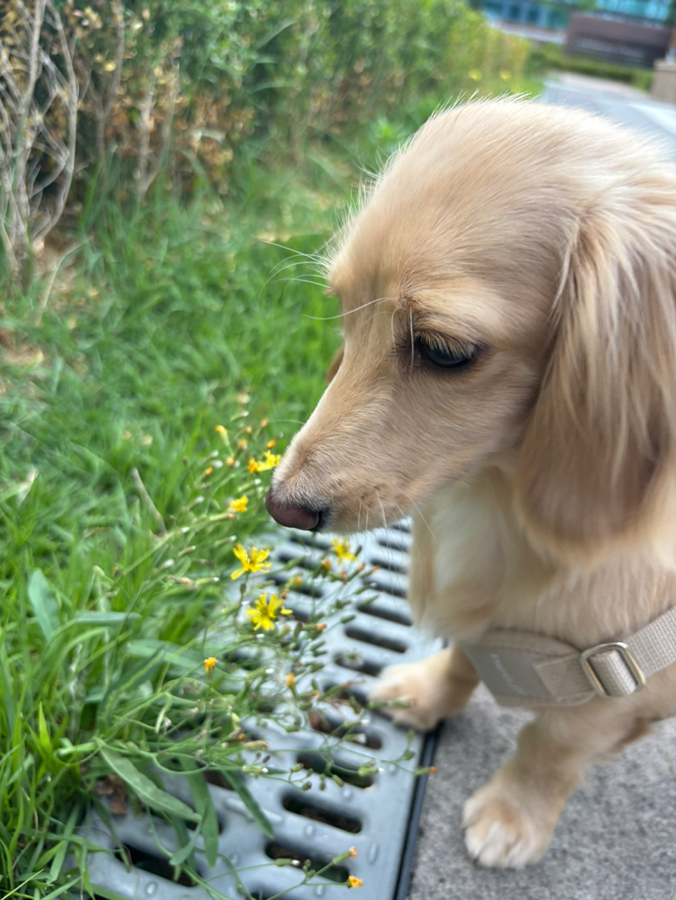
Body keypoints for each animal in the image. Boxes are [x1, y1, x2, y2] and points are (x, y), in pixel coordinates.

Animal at [266, 96, 676, 864]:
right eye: (344, 315)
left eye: (444, 350)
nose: (281, 507)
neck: (499, 501)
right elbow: (465, 656)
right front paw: (428, 693)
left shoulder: (620, 674)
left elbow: (552, 744)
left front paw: (515, 815)